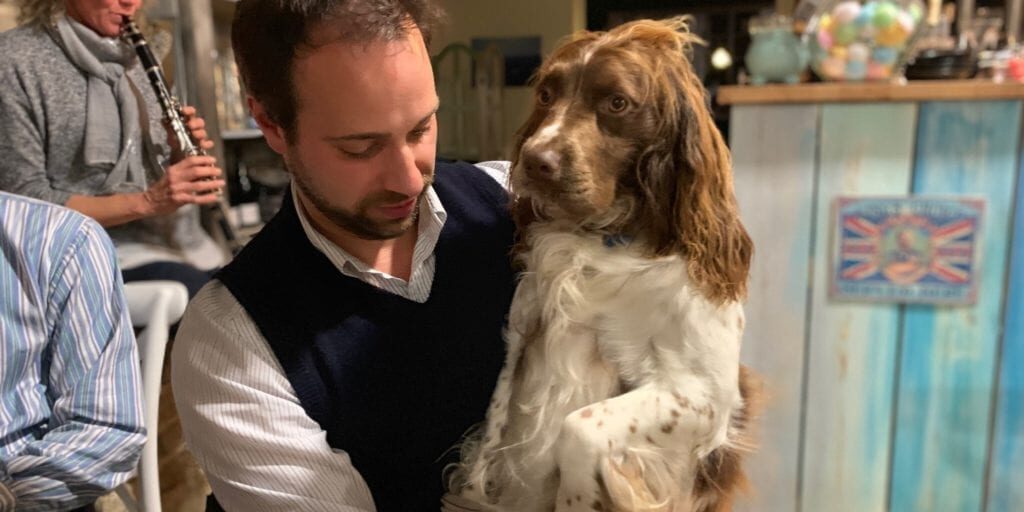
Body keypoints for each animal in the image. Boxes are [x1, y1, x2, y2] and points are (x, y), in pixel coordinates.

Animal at [446, 17, 753, 512]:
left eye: (617, 103)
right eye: (546, 94)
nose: (535, 160)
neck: (602, 238)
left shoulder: (707, 394)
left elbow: (579, 426)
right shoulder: (521, 335)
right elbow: (493, 432)